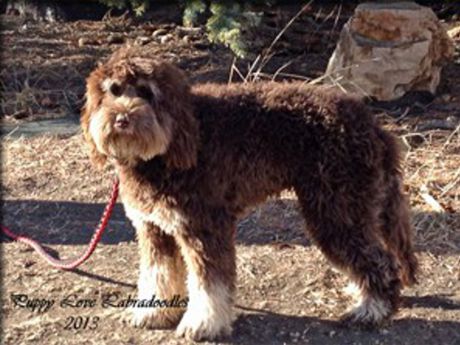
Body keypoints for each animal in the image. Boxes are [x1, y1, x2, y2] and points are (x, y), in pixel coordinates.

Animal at [81, 47, 418, 340]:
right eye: (114, 90)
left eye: (147, 92)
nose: (122, 119)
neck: (175, 144)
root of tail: (374, 126)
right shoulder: (154, 228)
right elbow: (158, 273)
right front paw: (154, 312)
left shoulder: (204, 227)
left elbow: (209, 283)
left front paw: (203, 322)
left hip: (337, 211)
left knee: (382, 263)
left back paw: (372, 310)